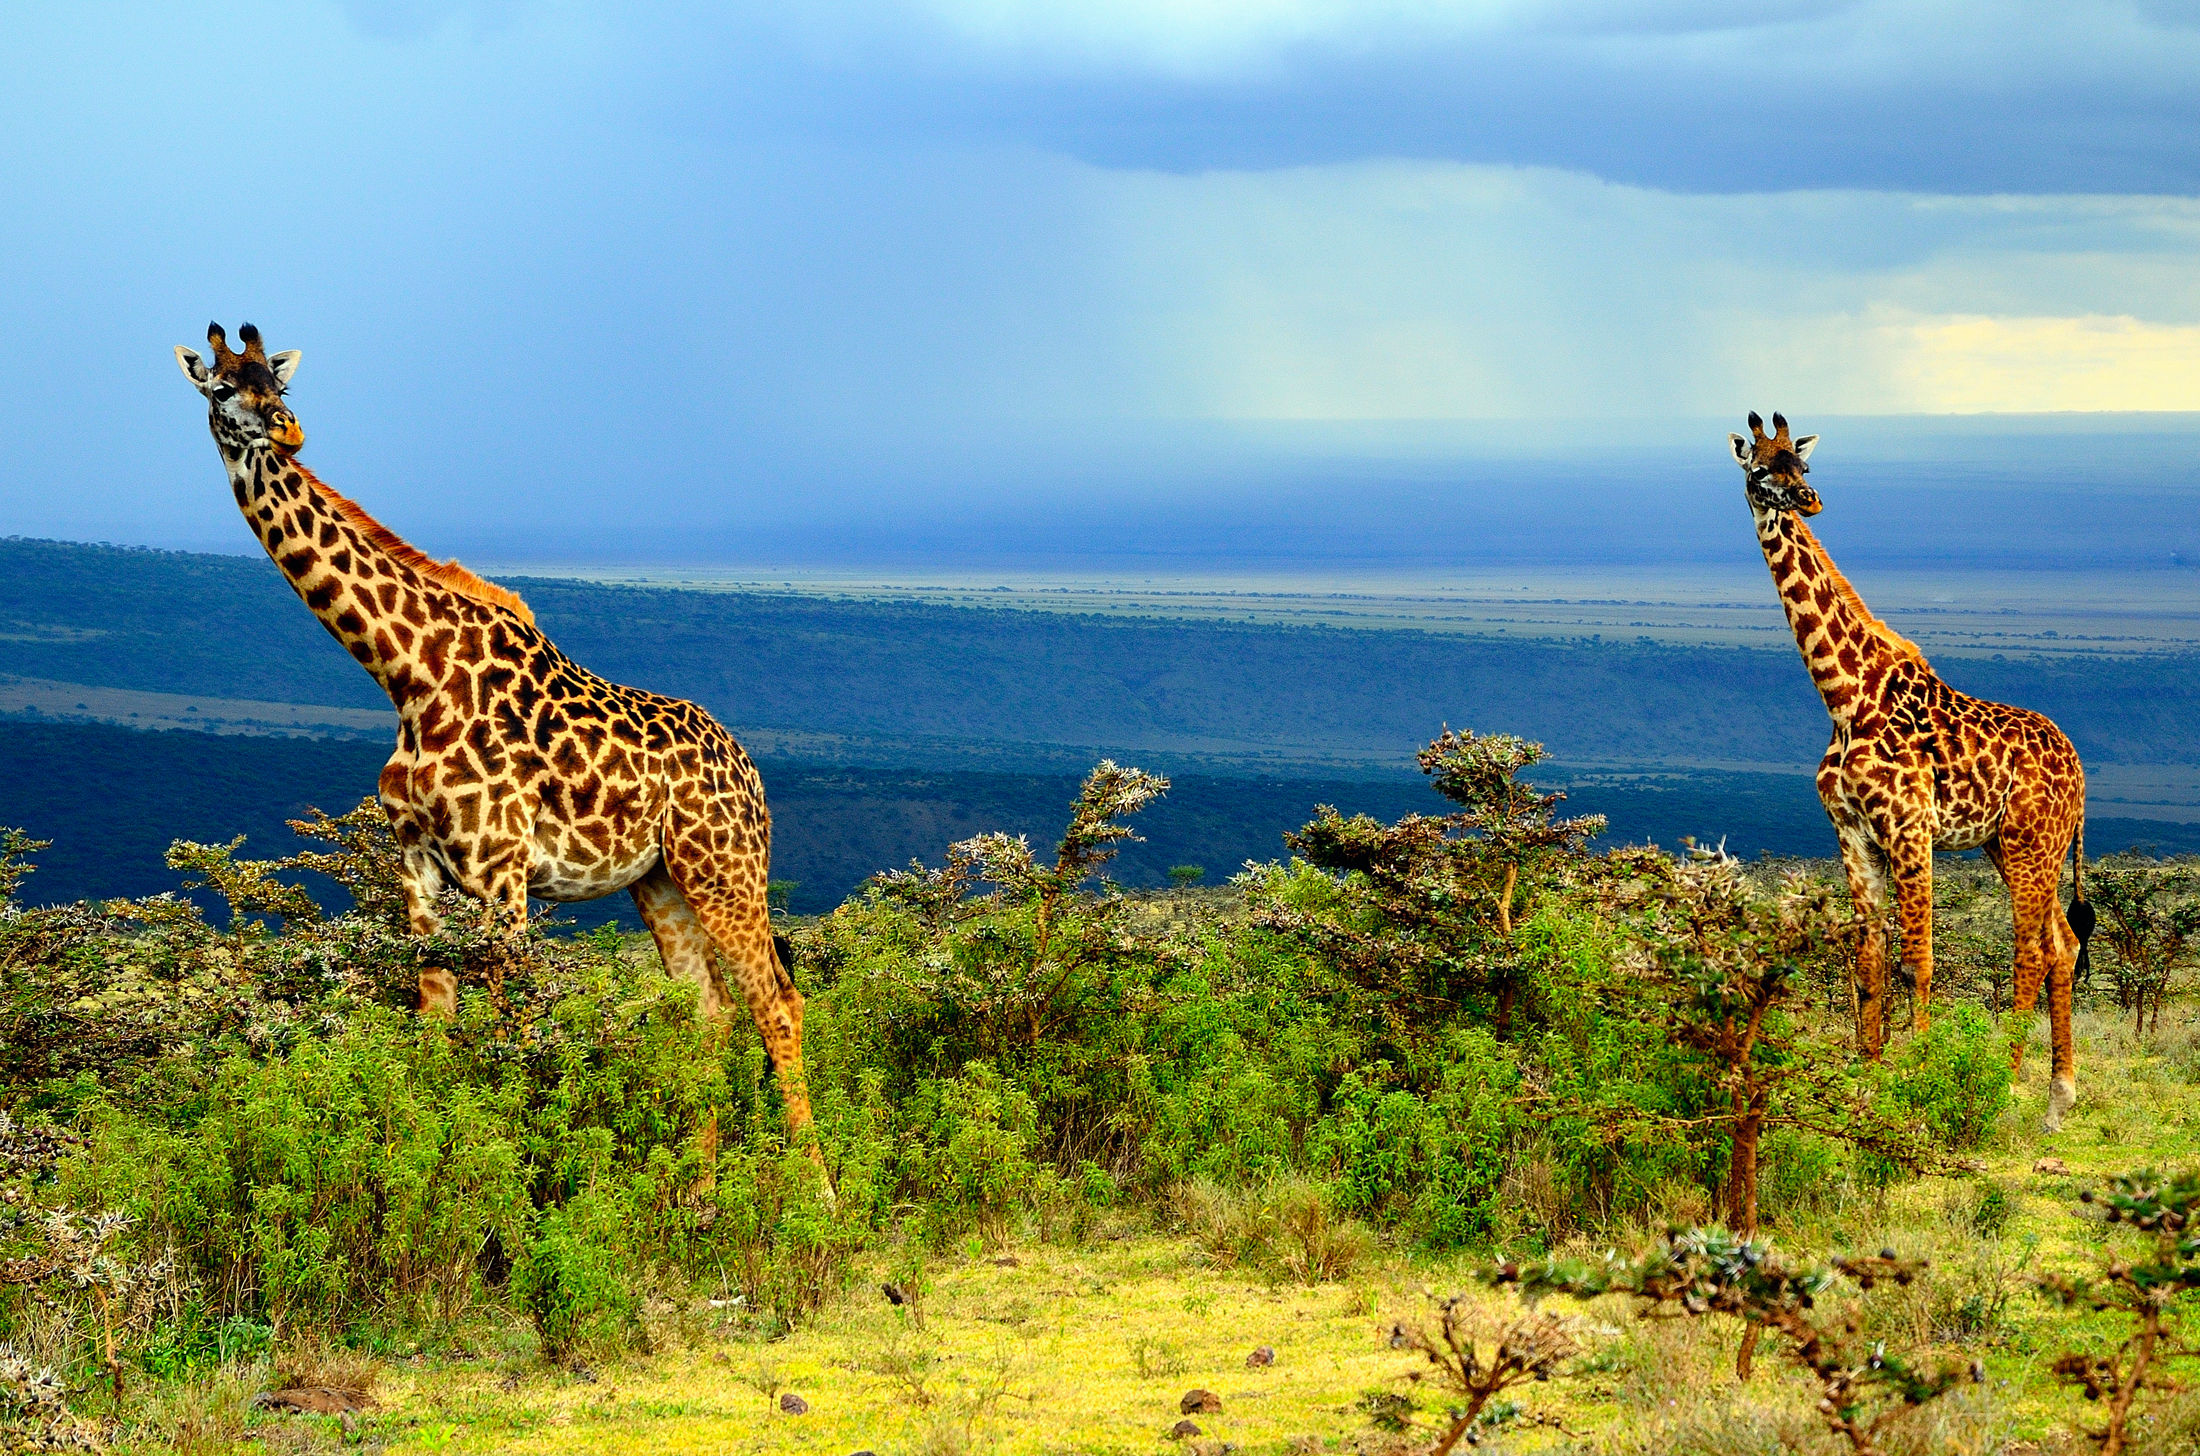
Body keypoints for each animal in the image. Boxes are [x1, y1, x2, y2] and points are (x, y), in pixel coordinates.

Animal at [174, 322, 823, 1152]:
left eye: (278, 386)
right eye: (224, 388)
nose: (287, 431)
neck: (408, 673)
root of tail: (751, 773)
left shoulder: (499, 871)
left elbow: (516, 1033)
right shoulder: (417, 867)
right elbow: (433, 1027)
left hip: (726, 870)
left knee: (778, 1004)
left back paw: (813, 1183)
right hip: (660, 880)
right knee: (709, 1013)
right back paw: (703, 1184)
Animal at [1728, 411, 2095, 1130]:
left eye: (1802, 466)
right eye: (1760, 470)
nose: (1809, 500)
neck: (1844, 695)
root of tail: (2082, 773)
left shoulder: (1908, 828)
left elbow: (1917, 960)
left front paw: (1922, 1077)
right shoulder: (1852, 833)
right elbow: (1869, 962)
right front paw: (1866, 1082)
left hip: (2030, 844)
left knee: (2032, 950)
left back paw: (2010, 1083)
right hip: (2007, 846)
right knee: (2062, 944)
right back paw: (2058, 1096)